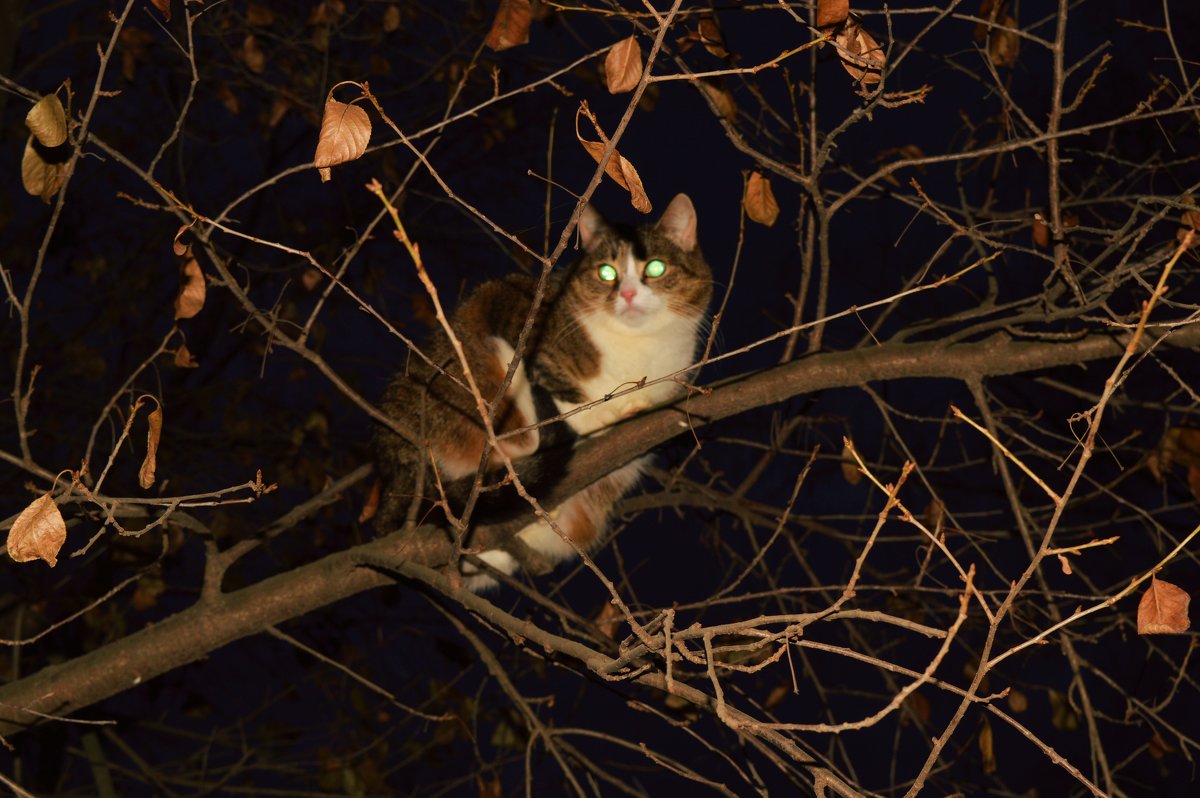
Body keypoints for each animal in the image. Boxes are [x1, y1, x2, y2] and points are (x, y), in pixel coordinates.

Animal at [374, 193, 710, 588]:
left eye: (655, 268)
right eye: (606, 272)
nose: (627, 293)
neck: (638, 347)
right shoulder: (511, 305)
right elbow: (560, 393)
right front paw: (600, 416)